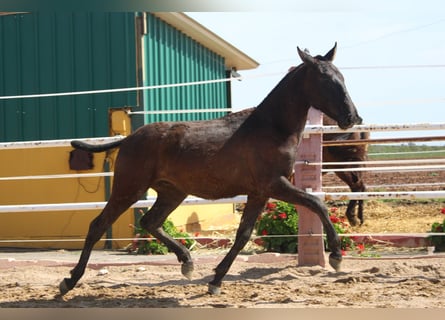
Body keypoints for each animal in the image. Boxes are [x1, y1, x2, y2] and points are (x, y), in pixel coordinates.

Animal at [59, 43, 362, 296]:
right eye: (326, 79)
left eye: (342, 77)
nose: (352, 117)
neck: (272, 127)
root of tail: (130, 138)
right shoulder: (274, 184)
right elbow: (317, 203)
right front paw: (336, 256)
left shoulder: (259, 193)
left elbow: (243, 235)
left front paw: (215, 281)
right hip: (129, 188)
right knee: (98, 225)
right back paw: (69, 281)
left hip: (172, 193)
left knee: (150, 222)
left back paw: (187, 262)